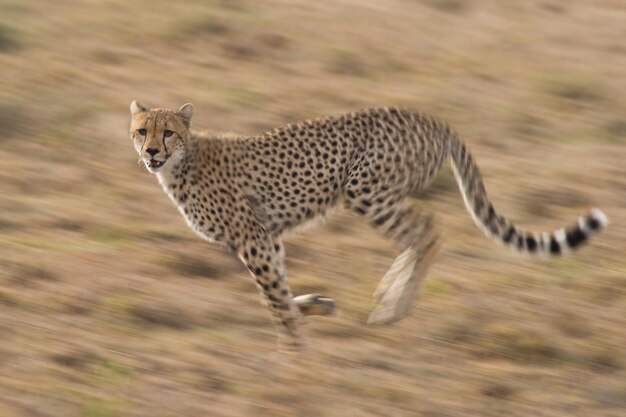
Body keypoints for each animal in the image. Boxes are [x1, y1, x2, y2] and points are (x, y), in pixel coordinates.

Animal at [128, 100, 604, 348]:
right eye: (141, 130)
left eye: (167, 132)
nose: (151, 152)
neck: (183, 162)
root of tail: (431, 117)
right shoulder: (266, 237)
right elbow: (279, 289)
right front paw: (315, 307)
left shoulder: (252, 237)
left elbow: (273, 298)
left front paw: (294, 345)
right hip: (376, 194)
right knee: (419, 236)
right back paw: (389, 296)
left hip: (365, 190)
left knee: (428, 231)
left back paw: (394, 308)